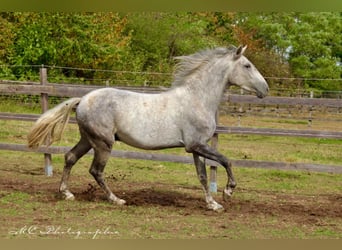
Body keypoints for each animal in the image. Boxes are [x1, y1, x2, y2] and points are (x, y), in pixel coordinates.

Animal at [27, 45, 268, 211]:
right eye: (247, 65)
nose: (265, 89)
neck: (197, 99)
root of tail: (83, 100)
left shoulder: (196, 147)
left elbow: (202, 176)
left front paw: (213, 205)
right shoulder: (197, 145)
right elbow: (226, 161)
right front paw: (228, 192)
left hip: (88, 140)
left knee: (70, 158)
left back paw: (66, 194)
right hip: (104, 143)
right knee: (96, 171)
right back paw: (116, 199)